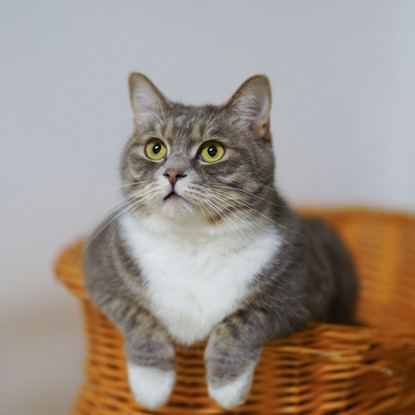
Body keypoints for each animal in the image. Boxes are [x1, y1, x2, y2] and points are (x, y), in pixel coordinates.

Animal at [83, 73, 360, 412]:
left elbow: (243, 319)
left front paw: (228, 386)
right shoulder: (99, 269)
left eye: (211, 151)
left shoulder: (303, 290)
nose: (172, 172)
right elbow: (136, 313)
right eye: (155, 148)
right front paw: (152, 382)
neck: (193, 241)